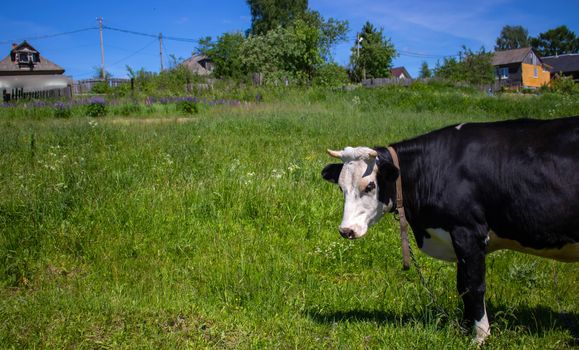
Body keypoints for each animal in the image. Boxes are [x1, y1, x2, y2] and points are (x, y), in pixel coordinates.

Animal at [322, 116, 579, 344]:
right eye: (341, 188)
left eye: (370, 186)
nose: (346, 230)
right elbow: (463, 286)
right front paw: (465, 329)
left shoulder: (468, 232)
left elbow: (474, 286)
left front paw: (480, 337)